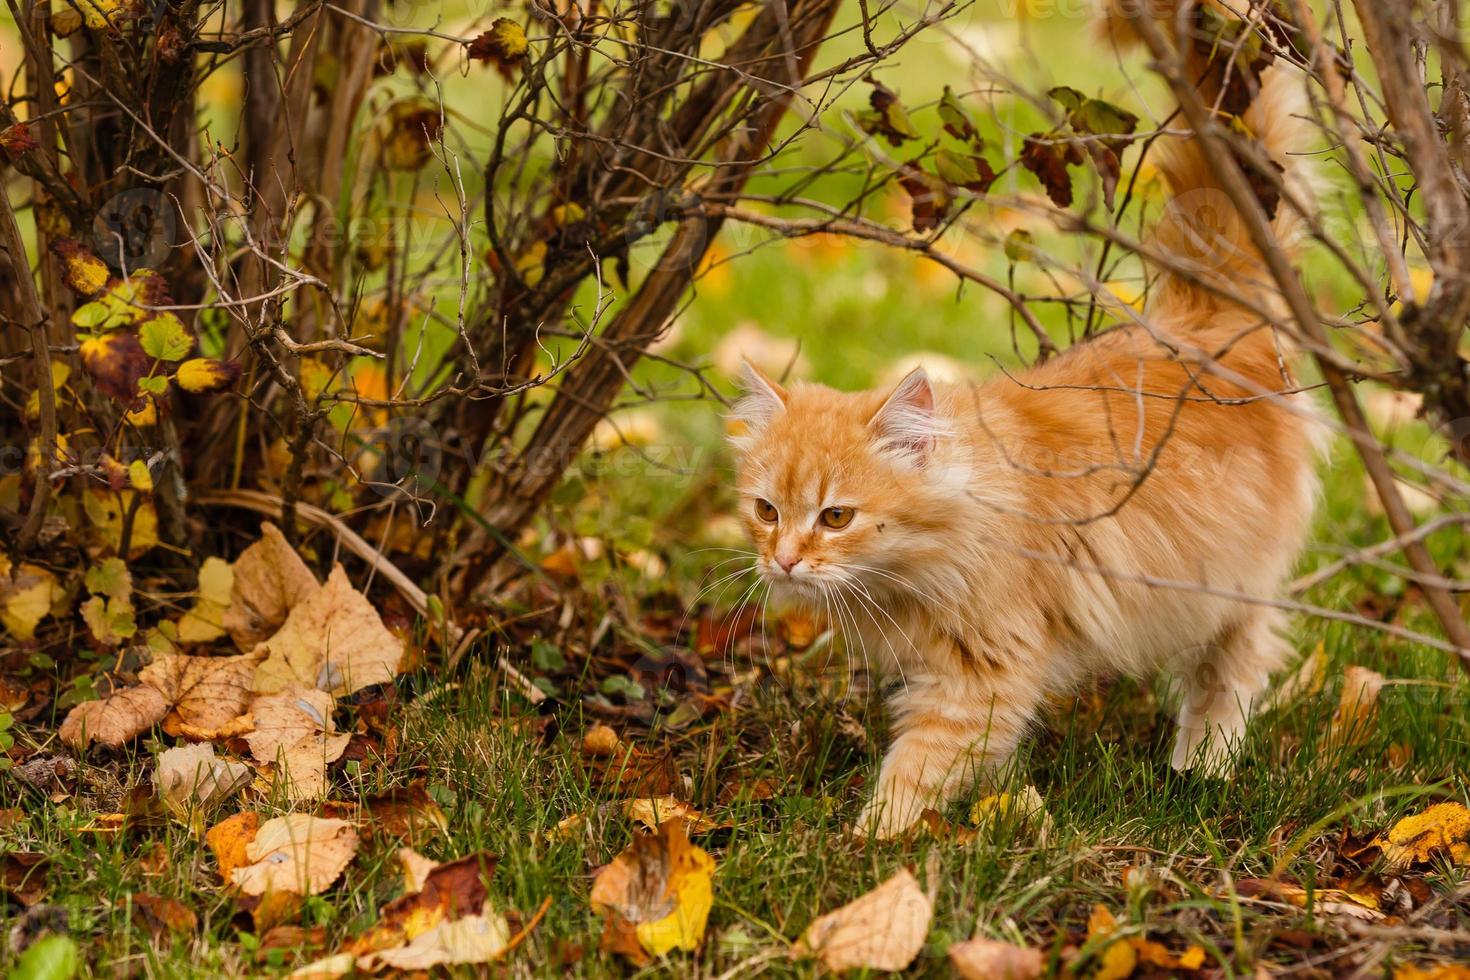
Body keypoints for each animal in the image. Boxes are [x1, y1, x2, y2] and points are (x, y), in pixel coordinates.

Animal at [729, 53, 1317, 834]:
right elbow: (987, 759)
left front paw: (869, 844)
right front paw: (1012, 806)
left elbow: (915, 769)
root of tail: (1200, 320)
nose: (786, 561)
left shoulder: (982, 675)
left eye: (836, 518)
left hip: (1230, 583)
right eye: (766, 511)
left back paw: (1203, 769)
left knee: (1237, 669)